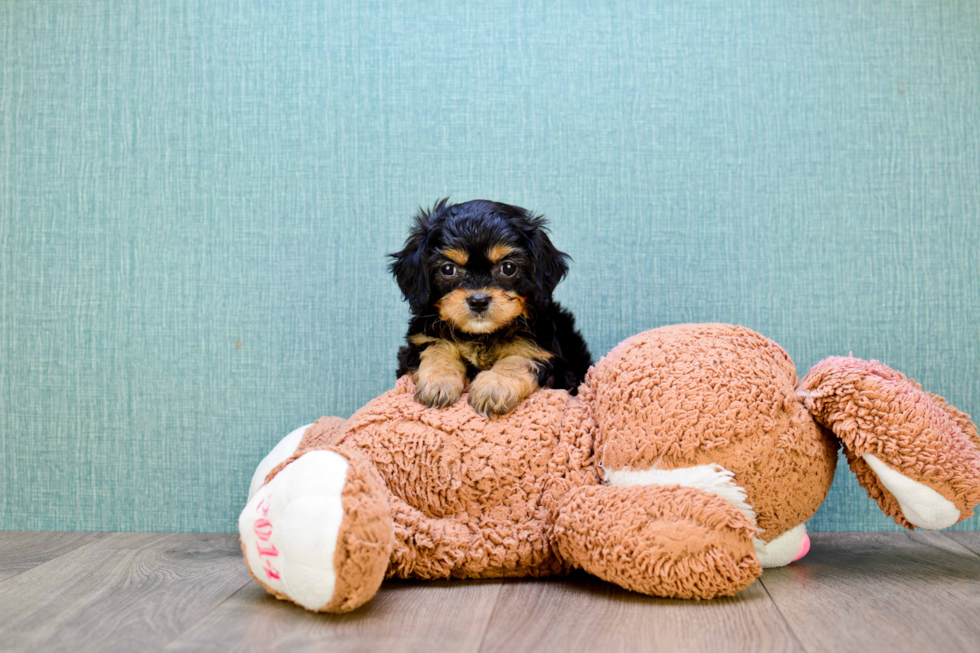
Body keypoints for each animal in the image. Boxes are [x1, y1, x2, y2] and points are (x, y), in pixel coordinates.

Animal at [388, 196, 588, 416]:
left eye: (508, 268)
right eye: (448, 269)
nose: (478, 301)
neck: (482, 335)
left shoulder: (549, 358)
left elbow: (519, 357)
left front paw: (494, 387)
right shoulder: (418, 342)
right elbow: (436, 347)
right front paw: (439, 383)